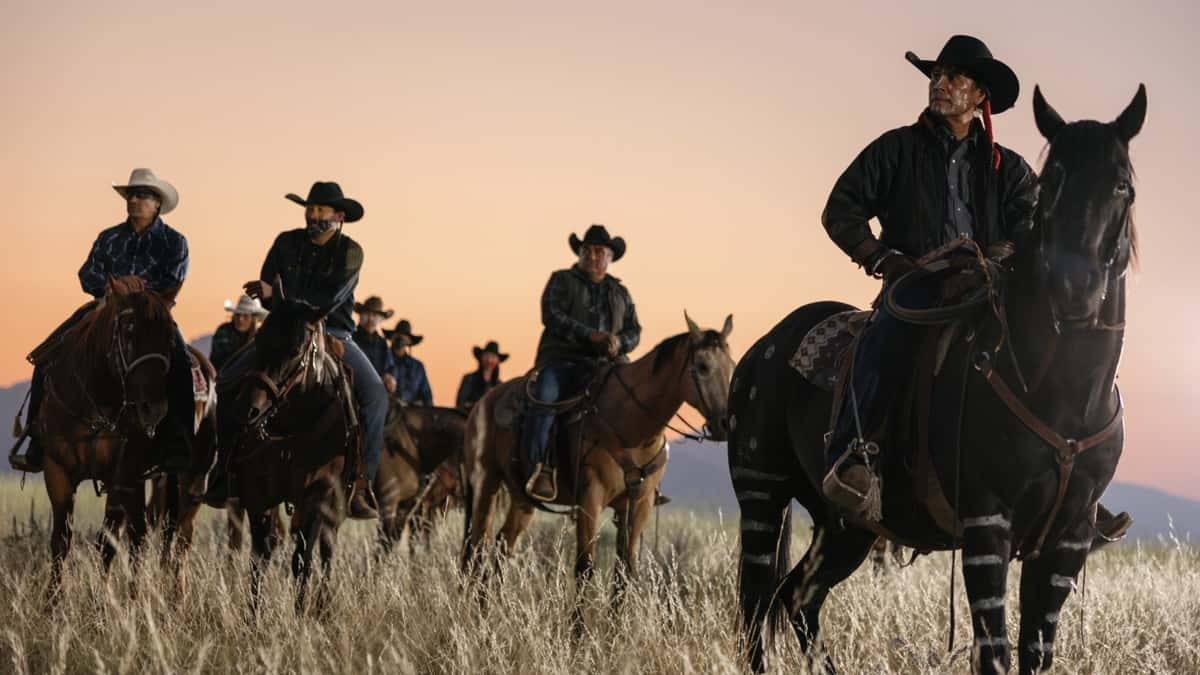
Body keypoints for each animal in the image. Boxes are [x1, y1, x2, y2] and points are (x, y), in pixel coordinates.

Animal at [35, 278, 181, 593]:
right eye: (128, 332)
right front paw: (51, 600)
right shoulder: (57, 470)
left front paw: (101, 601)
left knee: (148, 536)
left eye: (168, 337)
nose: (153, 409)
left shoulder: (121, 475)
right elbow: (60, 541)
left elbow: (108, 544)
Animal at [218, 295, 355, 610]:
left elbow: (303, 559)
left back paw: (322, 607)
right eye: (259, 340)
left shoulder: (319, 492)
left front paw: (300, 612)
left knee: (327, 548)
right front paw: (252, 615)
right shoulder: (257, 492)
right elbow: (261, 556)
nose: (248, 410)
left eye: (295, 350)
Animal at [463, 312, 734, 629]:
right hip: (485, 484)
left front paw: (616, 632)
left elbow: (624, 570)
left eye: (732, 365)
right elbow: (585, 566)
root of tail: (482, 403)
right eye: (702, 367)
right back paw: (472, 614)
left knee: (503, 546)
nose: (726, 423)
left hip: (521, 497)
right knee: (476, 549)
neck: (632, 426)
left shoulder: (639, 504)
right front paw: (578, 634)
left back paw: (490, 613)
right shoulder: (590, 498)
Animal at [724, 85, 1147, 672]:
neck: (1062, 394)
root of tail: (766, 345)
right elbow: (994, 653)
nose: (1074, 288)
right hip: (762, 492)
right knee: (755, 609)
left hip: (845, 525)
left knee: (798, 598)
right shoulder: (988, 526)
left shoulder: (1067, 539)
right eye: (1049, 188)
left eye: (1122, 185)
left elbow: (1036, 653)